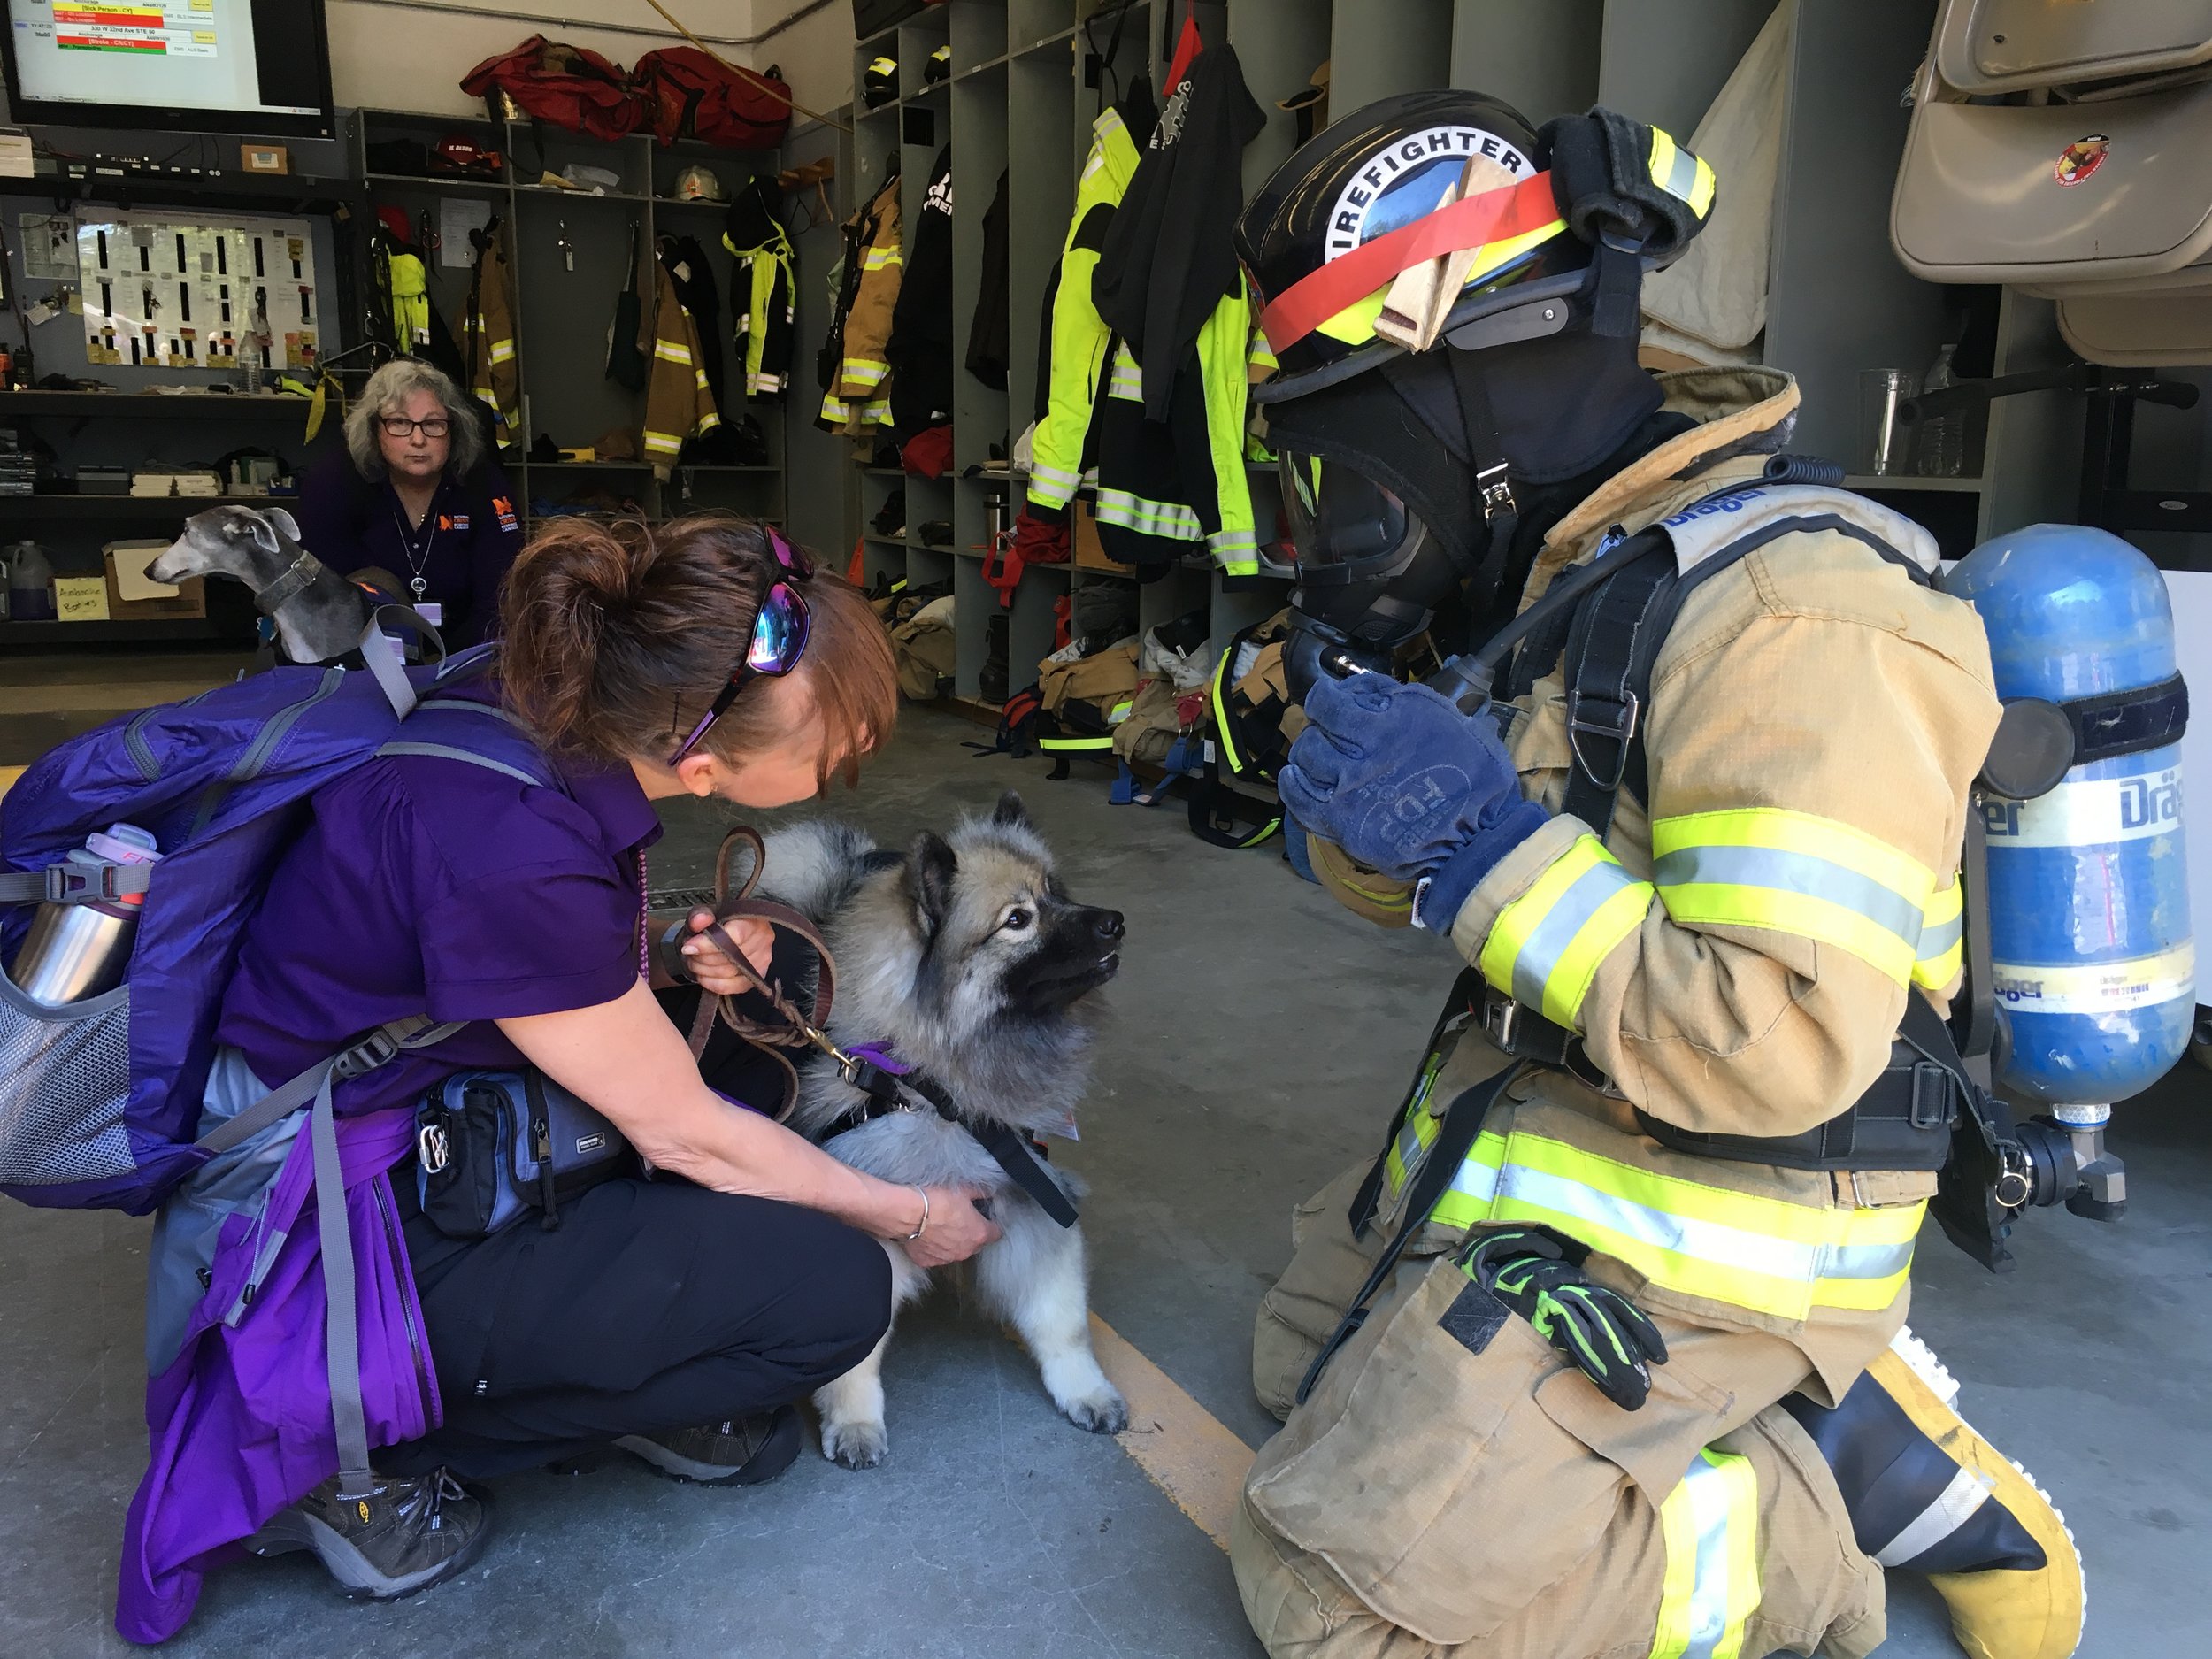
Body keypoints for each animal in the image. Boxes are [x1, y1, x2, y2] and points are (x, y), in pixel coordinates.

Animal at [765, 792, 1141, 1469]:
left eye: (1058, 892)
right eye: (1018, 919)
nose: (1115, 921)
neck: (940, 1096)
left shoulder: (1032, 1199)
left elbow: (1062, 1320)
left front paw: (1086, 1390)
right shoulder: (877, 1235)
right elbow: (855, 1361)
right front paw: (855, 1422)